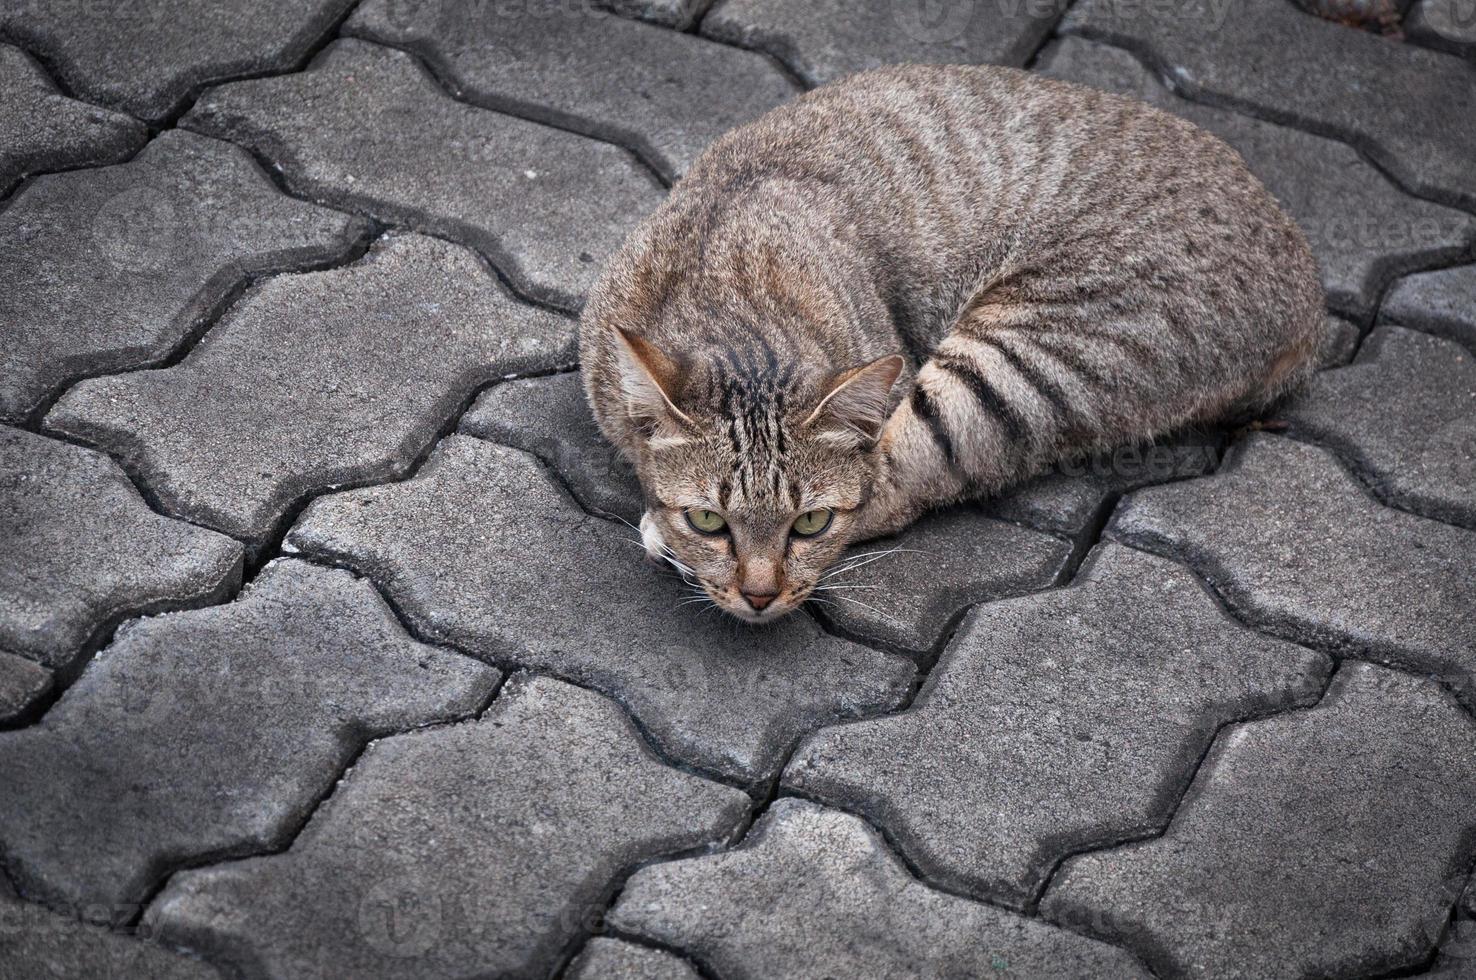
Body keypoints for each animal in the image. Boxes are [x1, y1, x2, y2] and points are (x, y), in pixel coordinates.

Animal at [578, 61, 1328, 622]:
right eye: (710, 519)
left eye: (809, 524)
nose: (759, 596)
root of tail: (1310, 298)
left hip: (1029, 352)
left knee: (901, 483)